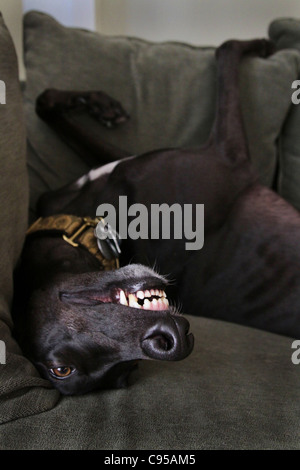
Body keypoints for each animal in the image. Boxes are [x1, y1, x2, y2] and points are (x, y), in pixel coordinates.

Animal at [12, 38, 298, 394]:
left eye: (60, 369)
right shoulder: (228, 156)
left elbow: (44, 100)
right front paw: (261, 44)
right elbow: (226, 49)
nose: (174, 342)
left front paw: (101, 105)